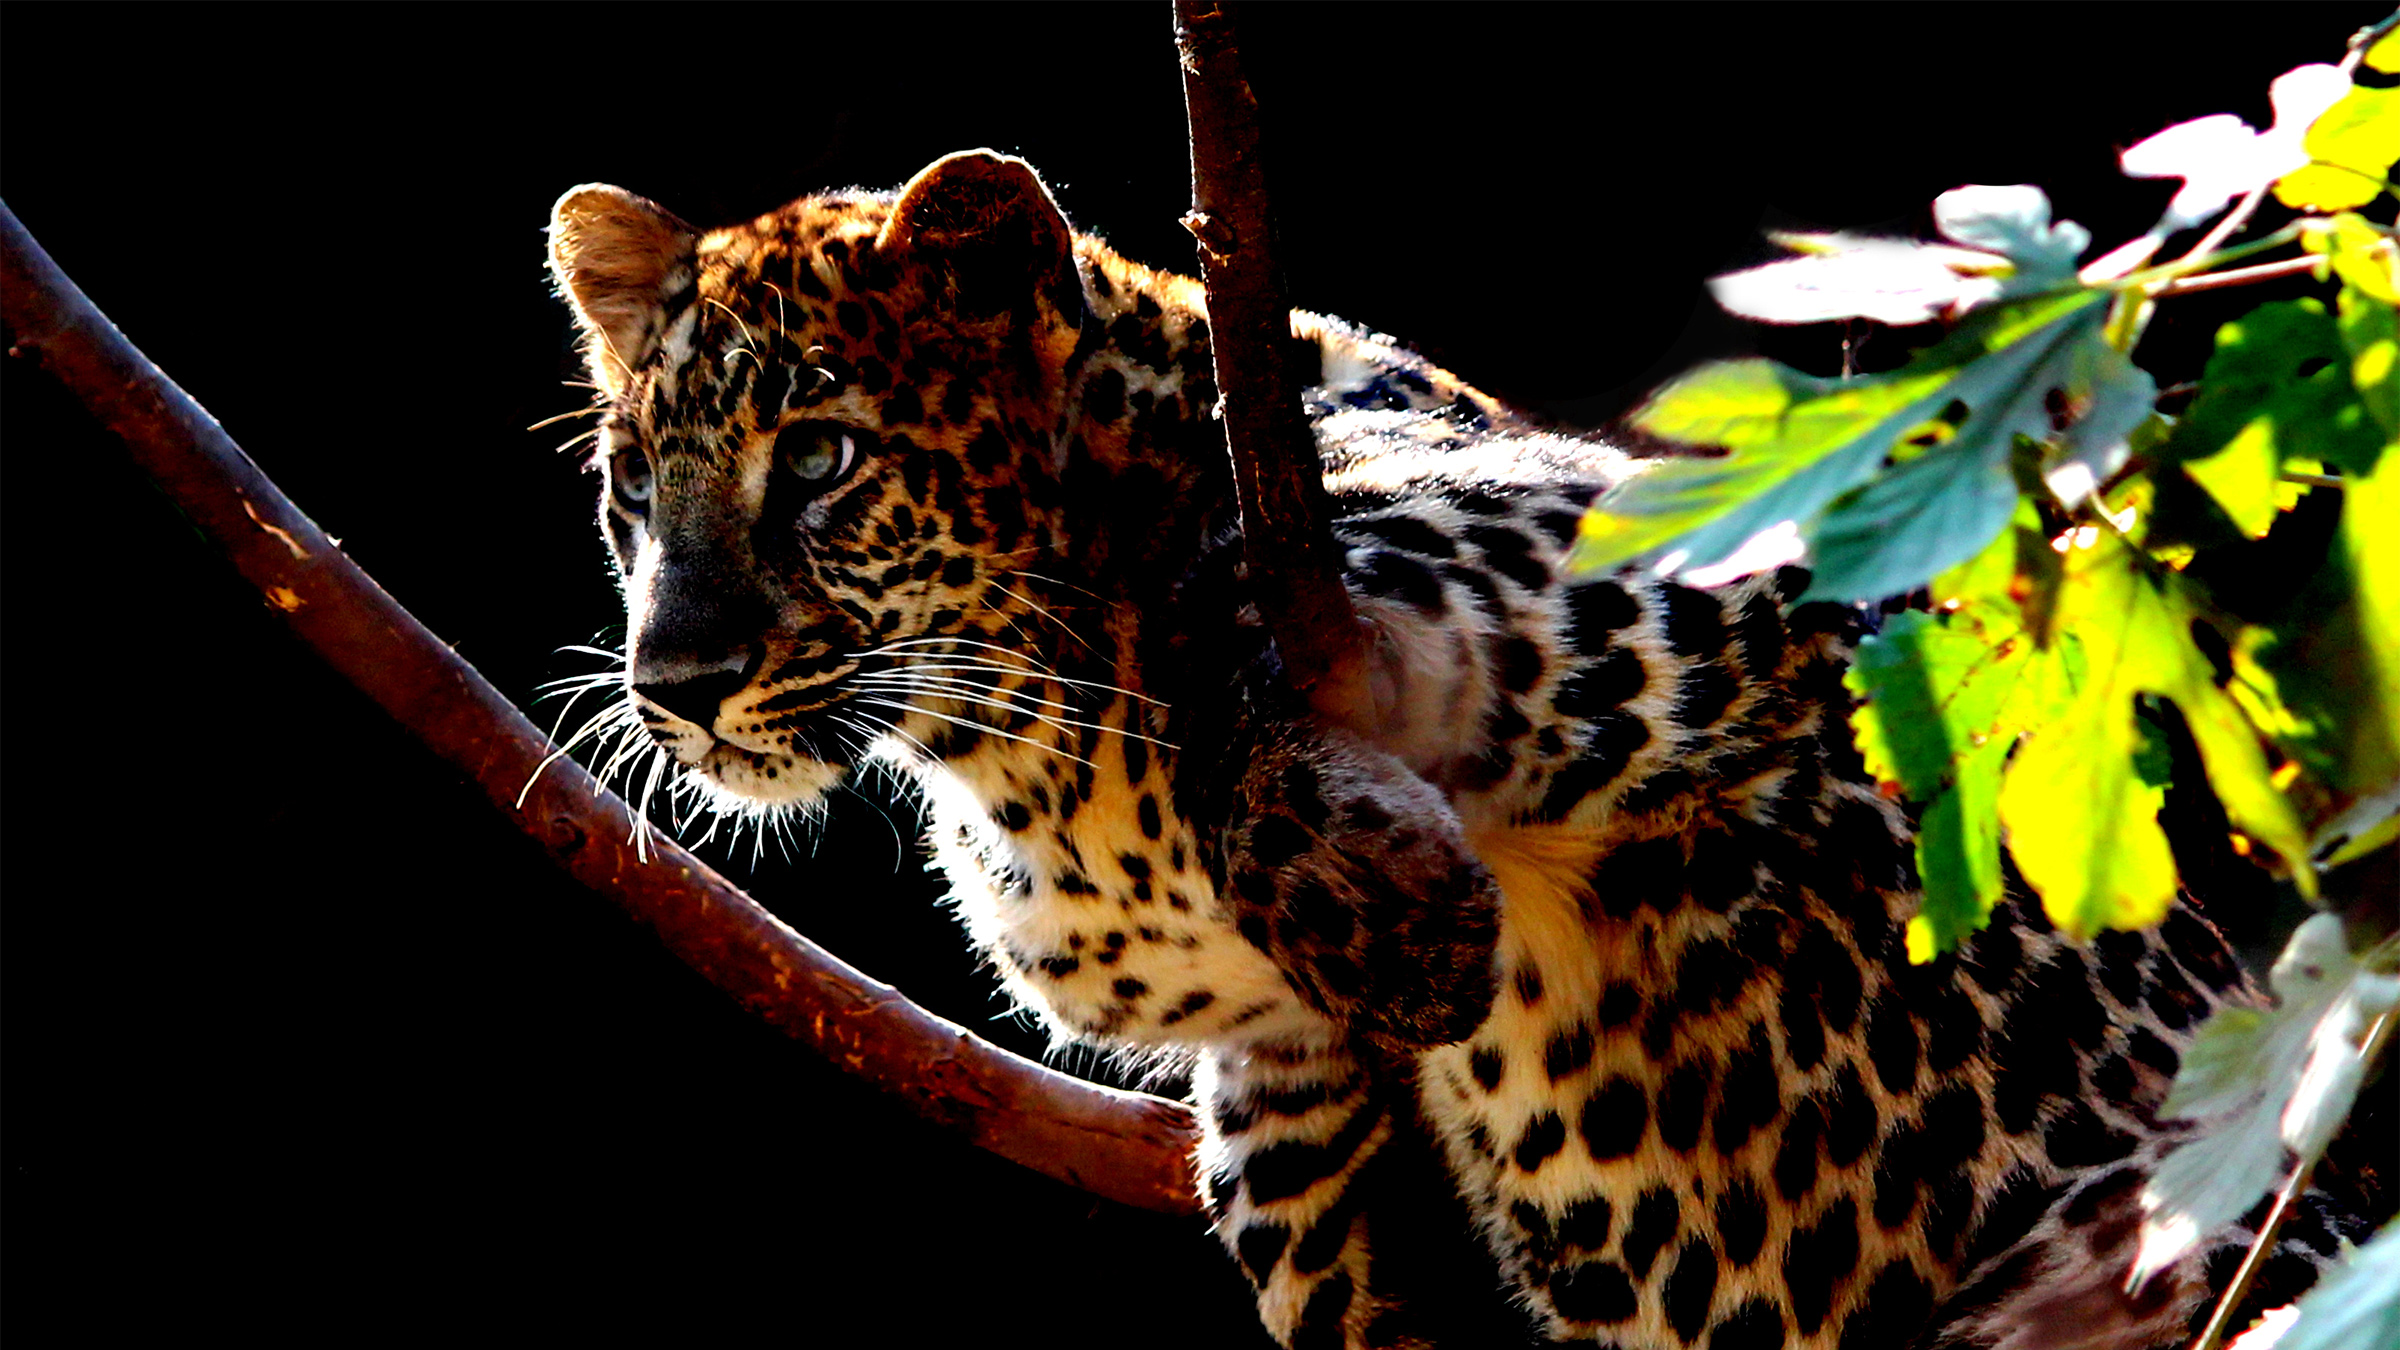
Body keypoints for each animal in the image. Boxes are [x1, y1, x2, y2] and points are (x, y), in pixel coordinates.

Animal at [542, 149, 2382, 1349]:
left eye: (819, 459)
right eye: (635, 484)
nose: (674, 682)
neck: (1023, 760)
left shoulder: (1663, 561)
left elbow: (1271, 577)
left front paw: (1397, 912)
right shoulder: (1270, 1063)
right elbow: (1304, 1202)